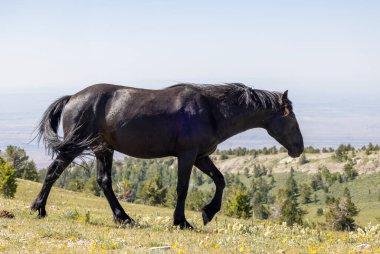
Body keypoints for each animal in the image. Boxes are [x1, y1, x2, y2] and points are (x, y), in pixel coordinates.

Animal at [31, 82, 304, 229]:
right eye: (291, 119)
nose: (299, 149)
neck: (211, 111)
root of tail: (72, 98)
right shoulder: (187, 155)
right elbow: (182, 188)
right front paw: (181, 222)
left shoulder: (201, 156)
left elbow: (220, 180)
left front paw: (208, 212)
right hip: (77, 146)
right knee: (54, 171)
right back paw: (39, 209)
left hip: (103, 149)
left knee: (104, 182)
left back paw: (124, 218)